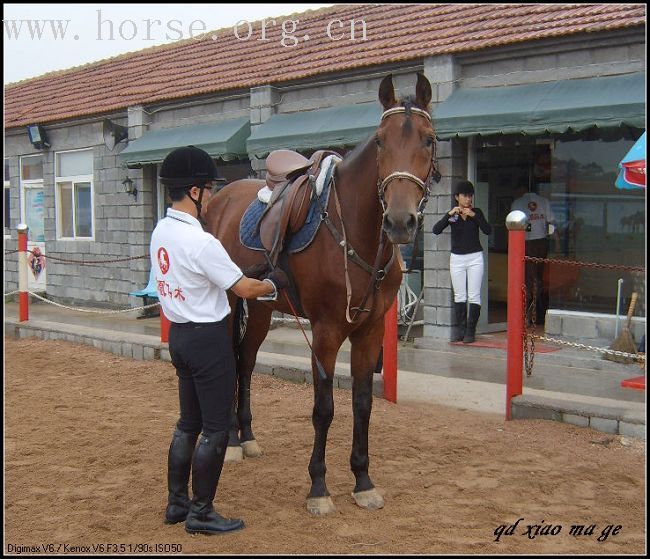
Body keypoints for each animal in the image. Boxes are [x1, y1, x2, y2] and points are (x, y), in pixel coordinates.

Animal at [202, 73, 436, 516]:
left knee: (246, 360)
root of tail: (218, 199)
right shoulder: (326, 331)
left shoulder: (370, 331)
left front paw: (363, 480)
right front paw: (319, 487)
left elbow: (362, 404)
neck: (355, 233)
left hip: (261, 308)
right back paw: (232, 440)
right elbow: (324, 408)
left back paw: (246, 435)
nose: (400, 221)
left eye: (429, 140)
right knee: (231, 358)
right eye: (380, 141)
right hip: (229, 302)